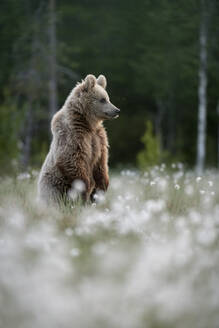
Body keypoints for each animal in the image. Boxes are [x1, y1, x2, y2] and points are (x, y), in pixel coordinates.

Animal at [37, 74, 120, 205]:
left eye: (108, 98)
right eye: (102, 99)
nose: (117, 110)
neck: (88, 123)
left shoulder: (98, 138)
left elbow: (101, 161)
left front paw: (102, 187)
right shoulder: (74, 135)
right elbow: (73, 159)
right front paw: (84, 188)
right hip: (54, 184)